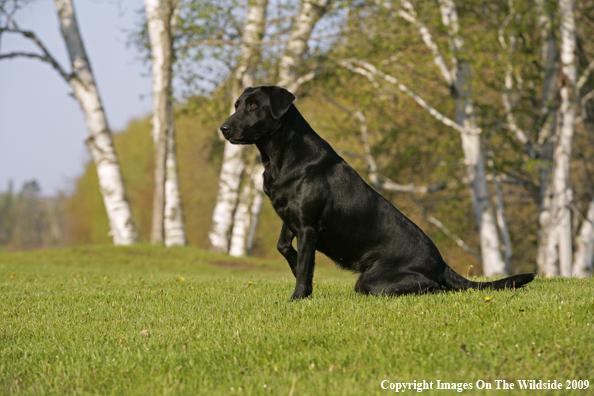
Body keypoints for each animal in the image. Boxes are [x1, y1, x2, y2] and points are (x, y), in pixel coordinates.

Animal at [219, 85, 532, 298]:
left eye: (254, 106)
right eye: (237, 105)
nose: (223, 128)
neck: (279, 158)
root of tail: (442, 263)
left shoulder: (307, 226)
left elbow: (304, 263)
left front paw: (299, 295)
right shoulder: (290, 216)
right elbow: (284, 247)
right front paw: (299, 271)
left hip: (373, 280)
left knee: (432, 288)